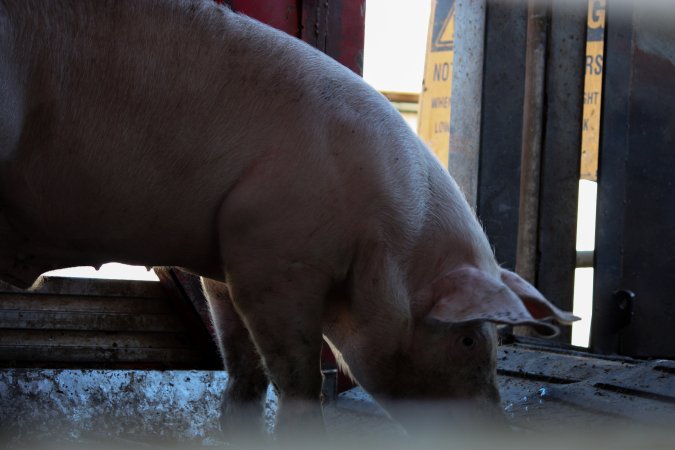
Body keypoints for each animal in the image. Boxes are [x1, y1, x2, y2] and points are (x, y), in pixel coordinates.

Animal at [0, 0, 580, 436]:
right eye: (468, 341)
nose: (498, 432)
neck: (388, 239)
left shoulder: (222, 263)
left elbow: (245, 373)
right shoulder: (271, 254)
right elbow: (299, 379)